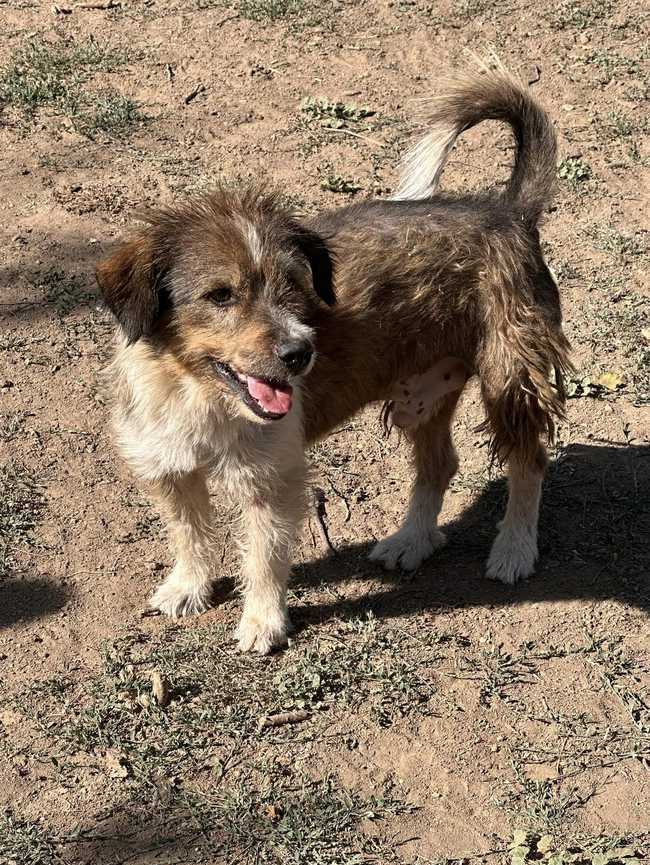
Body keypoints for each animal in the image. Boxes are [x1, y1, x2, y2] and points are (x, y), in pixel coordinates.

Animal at [96, 63, 571, 654]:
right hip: (422, 394)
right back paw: (411, 541)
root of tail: (508, 210)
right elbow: (188, 532)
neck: (197, 393)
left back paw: (513, 549)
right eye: (221, 295)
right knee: (440, 463)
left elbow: (264, 555)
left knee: (529, 461)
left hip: (511, 379)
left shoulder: (271, 482)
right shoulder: (169, 468)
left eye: (294, 287)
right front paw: (189, 586)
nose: (301, 352)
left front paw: (263, 621)